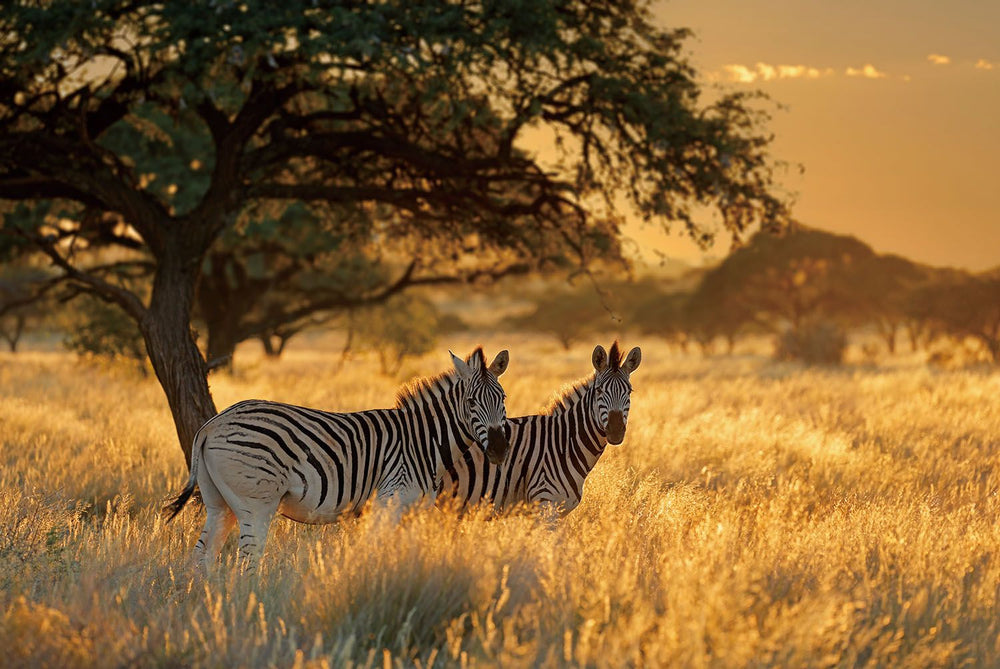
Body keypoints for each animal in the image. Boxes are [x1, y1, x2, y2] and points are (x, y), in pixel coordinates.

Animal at [163, 347, 510, 571]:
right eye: (471, 402)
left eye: (503, 398)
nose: (498, 449)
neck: (422, 441)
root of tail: (212, 423)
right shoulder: (389, 500)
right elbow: (376, 551)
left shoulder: (414, 510)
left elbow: (406, 553)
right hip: (256, 502)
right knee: (248, 556)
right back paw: (251, 605)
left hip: (218, 502)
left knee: (202, 556)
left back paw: (205, 605)